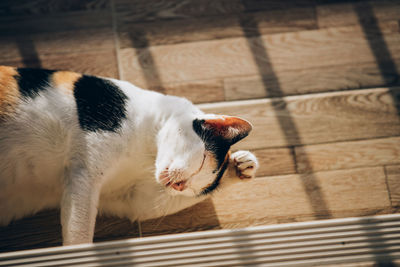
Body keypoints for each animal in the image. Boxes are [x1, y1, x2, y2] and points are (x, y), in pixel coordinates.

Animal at [0, 66, 258, 246]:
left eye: (200, 189)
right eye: (203, 159)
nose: (181, 186)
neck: (147, 151)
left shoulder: (132, 199)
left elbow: (144, 206)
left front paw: (240, 166)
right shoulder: (86, 174)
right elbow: (79, 233)